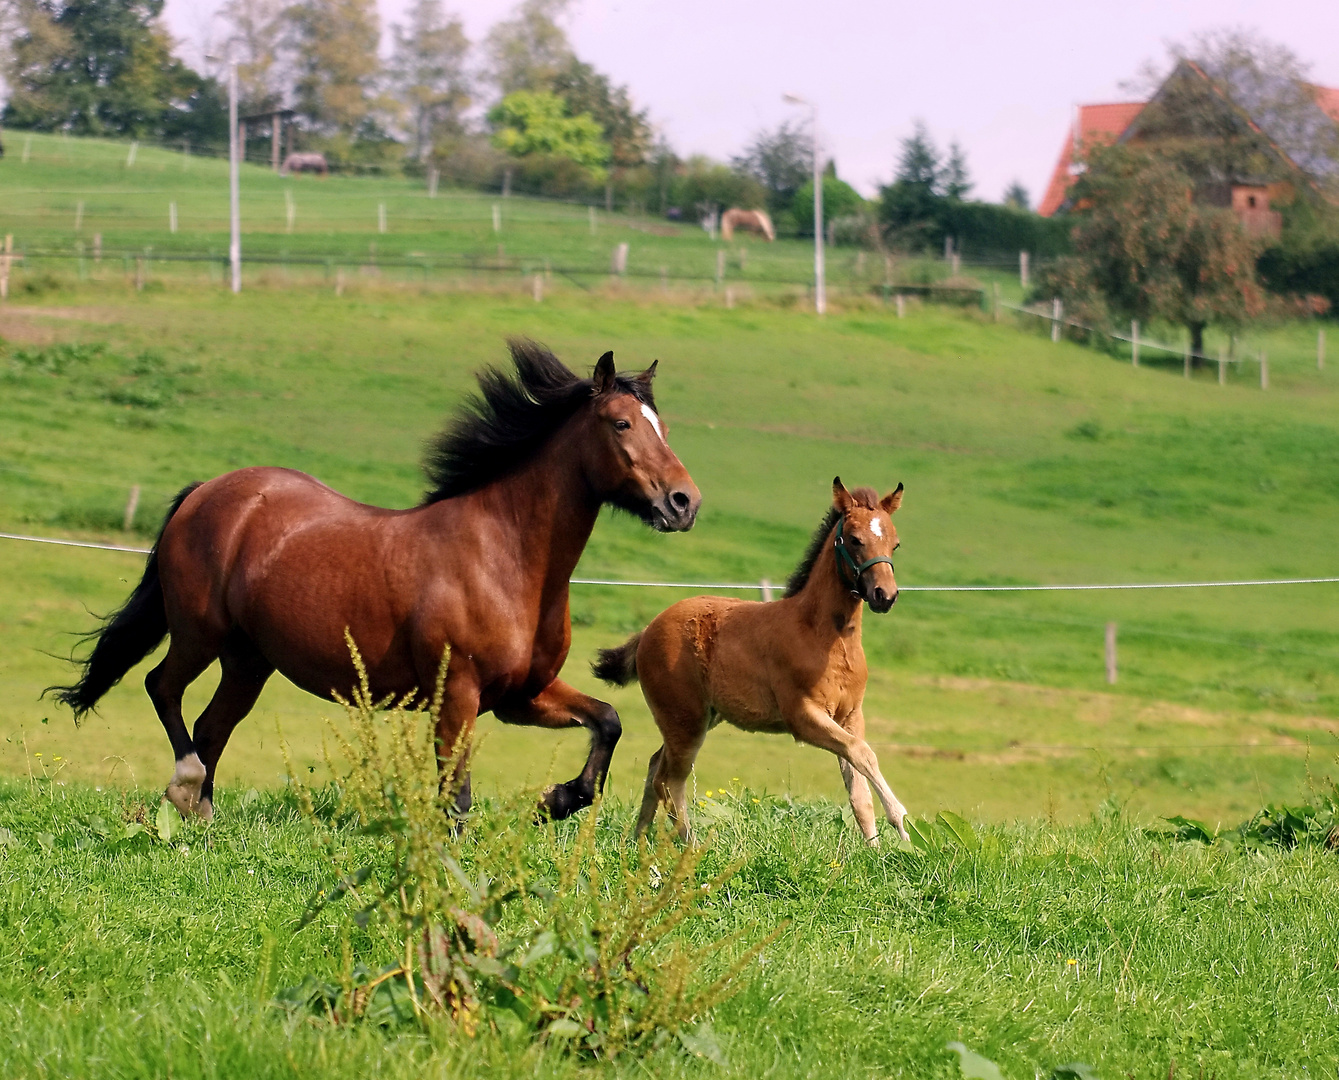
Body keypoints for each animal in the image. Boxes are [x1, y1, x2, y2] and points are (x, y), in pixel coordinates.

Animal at [52, 342, 701, 824]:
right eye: (621, 423)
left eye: (664, 426)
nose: (683, 503)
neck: (506, 558)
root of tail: (207, 492)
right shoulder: (457, 695)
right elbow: (456, 799)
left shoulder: (521, 695)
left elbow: (607, 722)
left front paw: (556, 800)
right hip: (199, 634)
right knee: (163, 689)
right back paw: (184, 788)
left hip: (249, 660)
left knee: (213, 726)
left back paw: (200, 821)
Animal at [597, 479, 910, 845]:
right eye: (856, 539)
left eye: (895, 543)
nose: (884, 595)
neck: (824, 637)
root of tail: (648, 630)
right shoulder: (804, 716)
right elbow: (863, 753)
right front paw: (902, 824)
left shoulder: (850, 715)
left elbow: (859, 789)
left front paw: (877, 850)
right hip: (685, 720)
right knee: (670, 780)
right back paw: (690, 845)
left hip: (699, 718)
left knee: (655, 767)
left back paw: (635, 839)